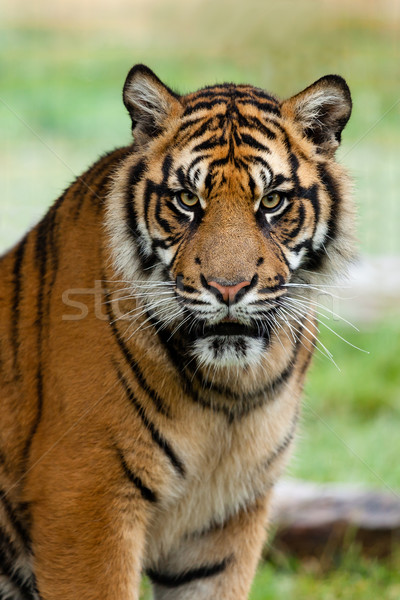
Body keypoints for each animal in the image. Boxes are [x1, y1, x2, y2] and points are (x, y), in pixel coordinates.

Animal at [0, 63, 354, 596]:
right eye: (188, 199)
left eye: (272, 201)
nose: (229, 288)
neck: (230, 396)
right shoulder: (82, 498)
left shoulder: (224, 522)